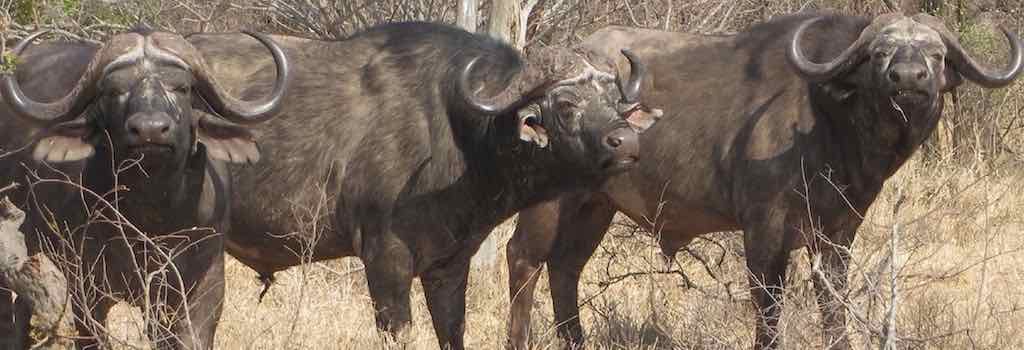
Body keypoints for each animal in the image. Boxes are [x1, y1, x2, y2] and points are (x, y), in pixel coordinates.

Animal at [1, 28, 288, 350]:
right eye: (113, 91)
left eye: (182, 88)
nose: (150, 130)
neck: (153, 215)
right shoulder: (86, 288)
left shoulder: (203, 286)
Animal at [185, 21, 663, 347]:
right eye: (565, 104)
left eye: (615, 100)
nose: (626, 141)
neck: (457, 133)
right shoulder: (385, 262)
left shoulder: (449, 266)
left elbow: (452, 332)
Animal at [505, 11, 1024, 350]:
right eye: (880, 53)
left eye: (935, 54)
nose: (909, 78)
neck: (827, 119)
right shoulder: (765, 229)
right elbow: (769, 305)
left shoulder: (838, 231)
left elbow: (832, 302)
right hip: (551, 202)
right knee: (523, 258)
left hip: (595, 206)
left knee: (566, 267)